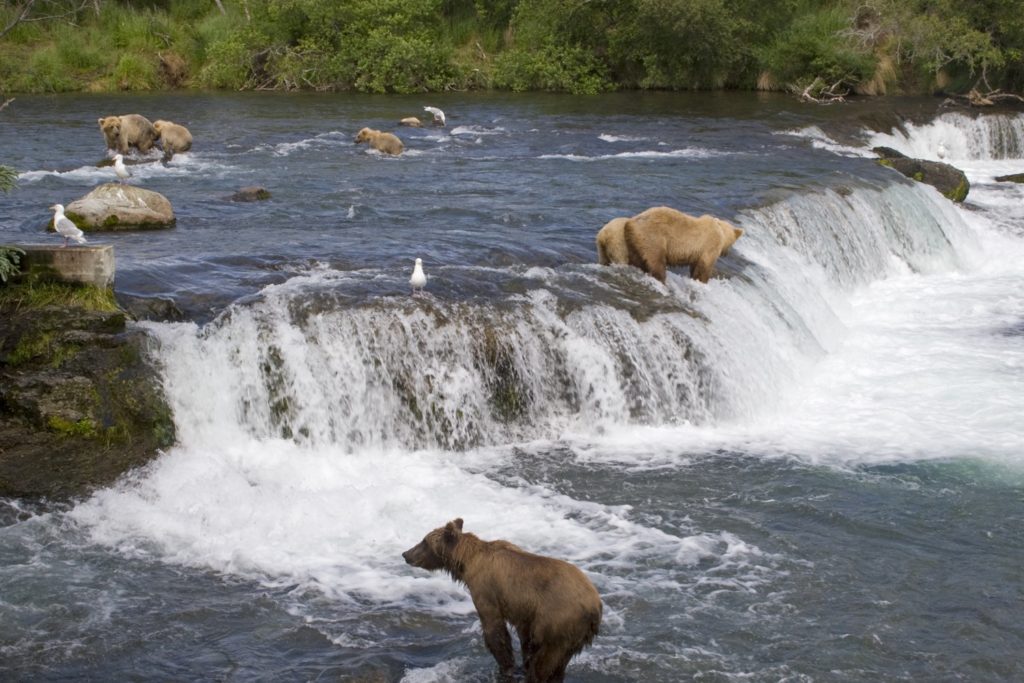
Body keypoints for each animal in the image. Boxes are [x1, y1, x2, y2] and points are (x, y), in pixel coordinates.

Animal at [403, 518, 602, 683]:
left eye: (424, 541)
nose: (405, 554)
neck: (467, 562)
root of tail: (595, 605)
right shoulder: (527, 613)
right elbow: (525, 639)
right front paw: (521, 663)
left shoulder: (485, 590)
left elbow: (495, 631)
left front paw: (506, 667)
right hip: (573, 633)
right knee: (558, 664)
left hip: (559, 620)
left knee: (545, 661)